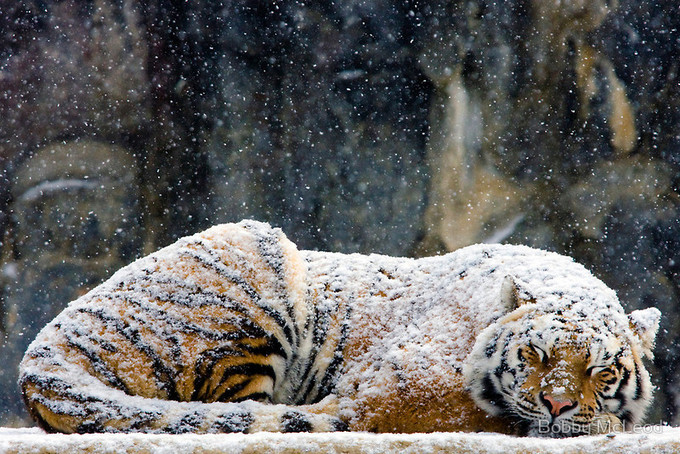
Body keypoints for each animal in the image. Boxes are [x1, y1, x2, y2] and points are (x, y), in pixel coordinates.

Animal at [19, 220, 660, 436]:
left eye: (599, 369)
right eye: (534, 356)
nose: (555, 405)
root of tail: (43, 351)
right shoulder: (392, 389)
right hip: (257, 257)